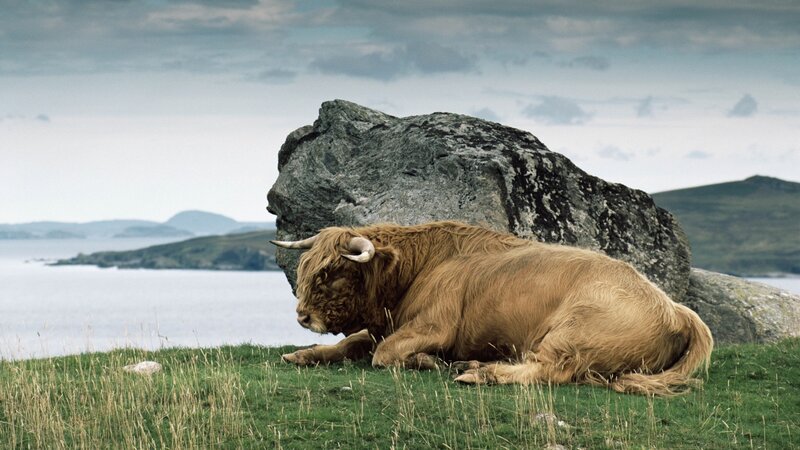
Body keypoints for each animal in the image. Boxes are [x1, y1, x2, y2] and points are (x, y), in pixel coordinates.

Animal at [272, 221, 713, 396]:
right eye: (308, 266)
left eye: (332, 272)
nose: (302, 316)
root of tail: (674, 308)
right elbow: (352, 343)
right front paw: (302, 354)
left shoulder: (433, 325)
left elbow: (383, 354)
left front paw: (428, 361)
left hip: (573, 332)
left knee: (549, 370)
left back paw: (477, 373)